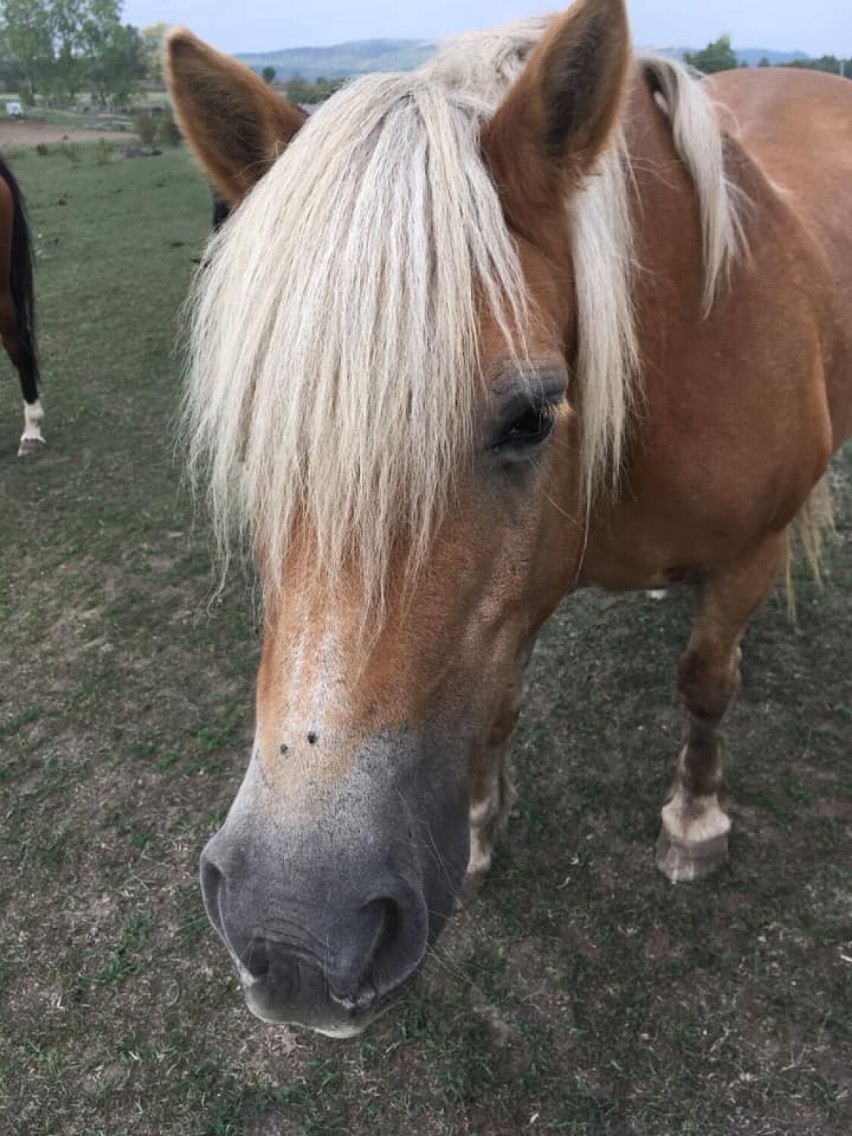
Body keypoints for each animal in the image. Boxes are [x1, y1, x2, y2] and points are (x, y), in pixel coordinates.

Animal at [163, 0, 849, 1036]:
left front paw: (695, 819)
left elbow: (704, 685)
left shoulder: (748, 554)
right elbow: (496, 706)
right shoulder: (520, 595)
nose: (293, 933)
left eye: (529, 417)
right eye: (250, 430)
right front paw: (483, 824)